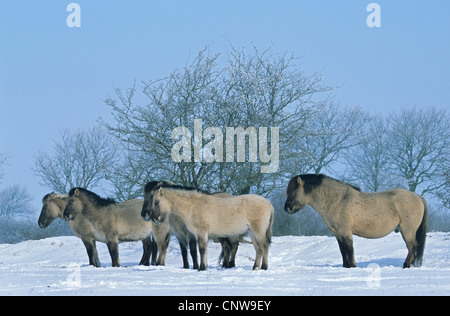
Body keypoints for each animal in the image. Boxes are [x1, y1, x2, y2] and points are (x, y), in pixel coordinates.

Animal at [141, 184, 274, 270]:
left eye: (156, 202)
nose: (154, 218)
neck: (193, 206)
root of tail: (269, 204)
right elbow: (201, 250)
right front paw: (203, 266)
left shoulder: (201, 233)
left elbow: (201, 250)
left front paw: (202, 268)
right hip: (251, 232)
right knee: (258, 249)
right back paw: (255, 267)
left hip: (258, 231)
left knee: (264, 246)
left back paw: (264, 267)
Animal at [284, 174, 428, 268]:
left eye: (293, 191)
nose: (287, 208)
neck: (338, 200)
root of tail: (417, 197)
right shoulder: (337, 233)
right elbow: (343, 250)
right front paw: (346, 267)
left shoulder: (345, 231)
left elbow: (349, 249)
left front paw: (352, 266)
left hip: (407, 230)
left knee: (412, 246)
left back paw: (406, 265)